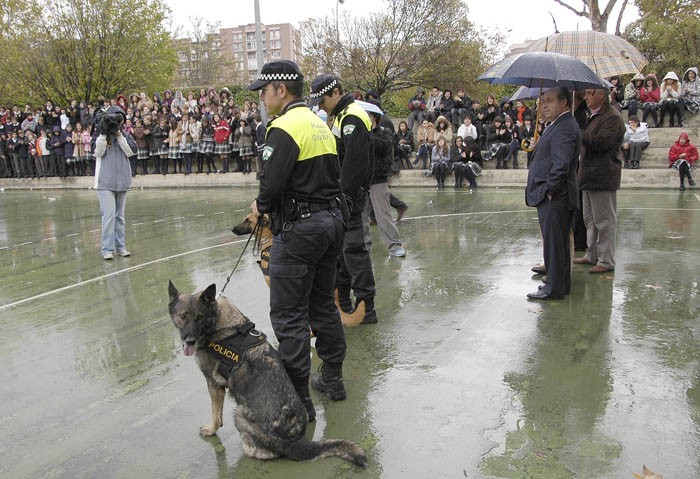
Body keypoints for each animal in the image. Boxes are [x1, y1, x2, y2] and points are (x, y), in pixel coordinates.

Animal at [167, 284, 370, 466]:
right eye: (183, 316)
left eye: (199, 318)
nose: (189, 341)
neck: (216, 318)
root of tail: (295, 441)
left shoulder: (213, 384)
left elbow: (216, 414)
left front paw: (211, 430)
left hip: (238, 414)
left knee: (264, 453)